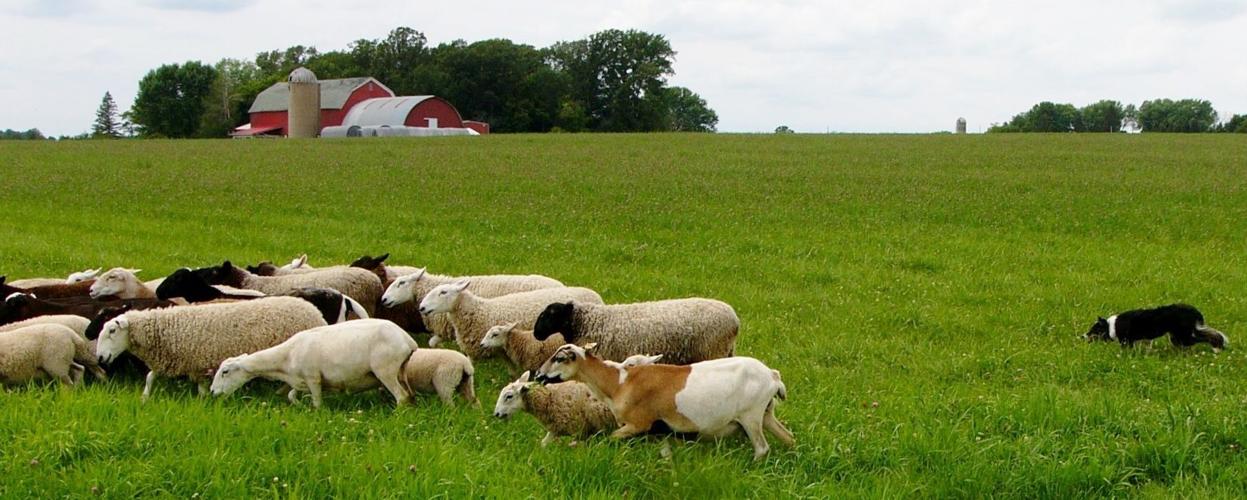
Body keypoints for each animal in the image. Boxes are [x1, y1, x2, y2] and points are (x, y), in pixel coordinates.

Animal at [95, 296, 328, 401]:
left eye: (112, 331)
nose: (100, 358)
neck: (163, 330)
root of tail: (314, 311)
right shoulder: (171, 361)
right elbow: (150, 377)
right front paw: (144, 397)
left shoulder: (197, 365)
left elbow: (201, 389)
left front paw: (203, 402)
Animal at [210, 319, 415, 408]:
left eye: (225, 372)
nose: (212, 392)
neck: (285, 357)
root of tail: (407, 339)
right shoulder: (299, 380)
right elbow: (291, 395)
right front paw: (299, 404)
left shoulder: (313, 377)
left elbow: (317, 402)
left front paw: (315, 411)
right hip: (401, 371)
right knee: (408, 394)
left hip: (385, 370)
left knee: (401, 396)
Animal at [531, 298, 739, 365]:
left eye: (550, 314)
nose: (536, 334)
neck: (587, 322)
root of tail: (735, 319)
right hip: (725, 351)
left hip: (712, 351)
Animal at [536, 344, 794, 460]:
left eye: (559, 358)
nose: (538, 375)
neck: (618, 383)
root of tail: (772, 376)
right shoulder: (662, 432)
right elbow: (666, 455)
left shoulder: (638, 424)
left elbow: (609, 440)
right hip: (766, 413)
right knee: (789, 438)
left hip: (751, 415)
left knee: (762, 448)